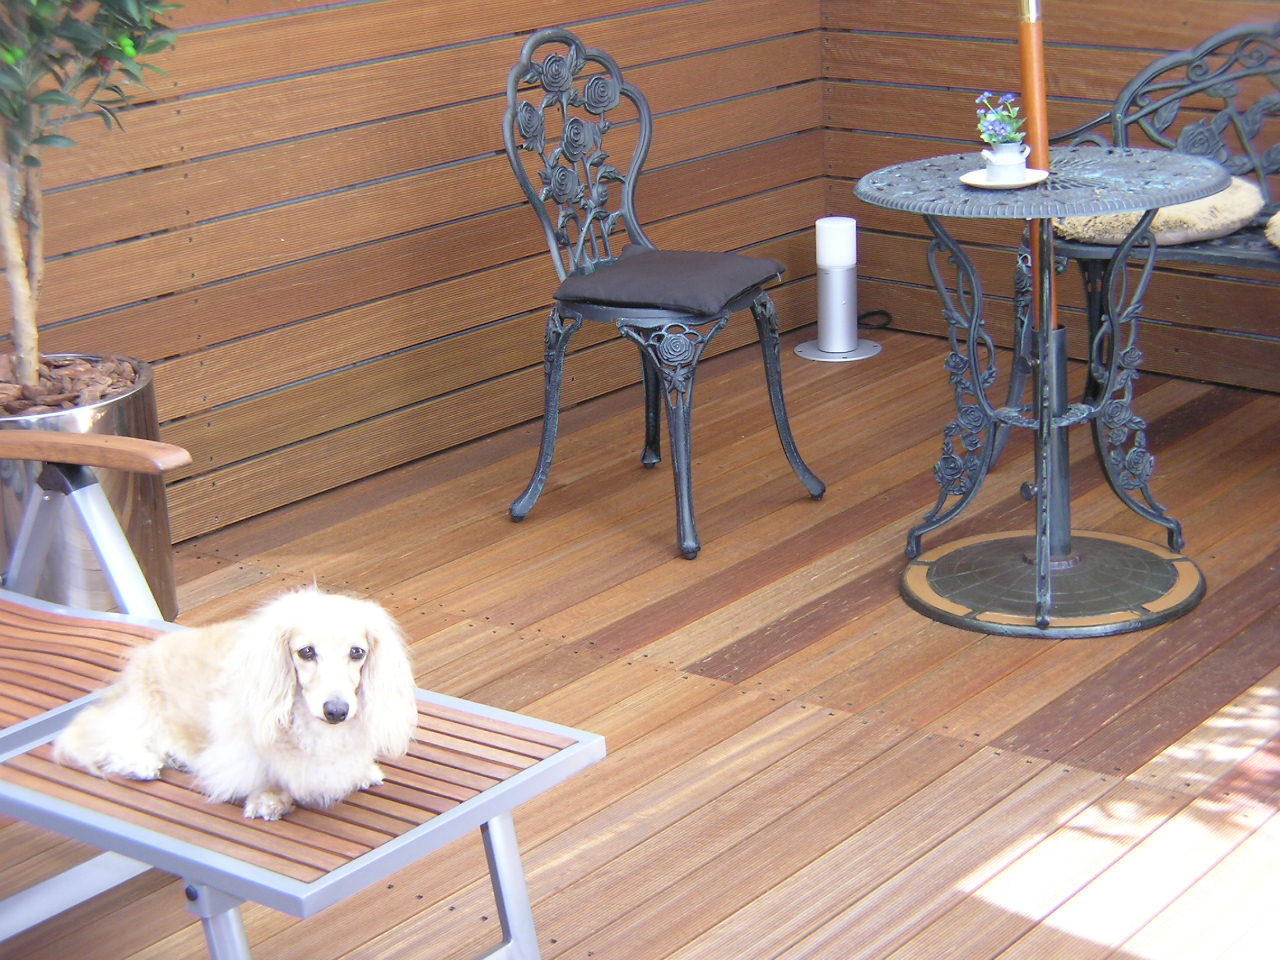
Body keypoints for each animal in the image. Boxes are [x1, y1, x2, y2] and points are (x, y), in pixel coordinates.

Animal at [55, 587, 418, 820]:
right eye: (306, 652)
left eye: (357, 652)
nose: (337, 712)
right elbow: (260, 772)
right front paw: (269, 799)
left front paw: (362, 771)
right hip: (142, 711)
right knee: (101, 737)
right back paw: (139, 762)